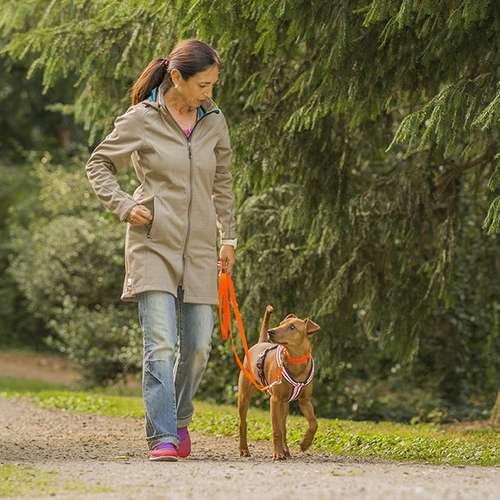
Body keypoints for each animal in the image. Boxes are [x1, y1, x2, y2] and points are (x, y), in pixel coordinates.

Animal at [237, 302, 320, 458]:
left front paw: (305, 444)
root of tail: (260, 342)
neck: (295, 360)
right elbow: (276, 430)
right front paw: (277, 453)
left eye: (292, 327)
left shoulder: (305, 400)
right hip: (244, 396)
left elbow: (313, 423)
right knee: (243, 423)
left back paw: (286, 450)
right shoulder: (274, 400)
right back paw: (244, 449)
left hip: (284, 405)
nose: (271, 332)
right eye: (281, 324)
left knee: (283, 427)